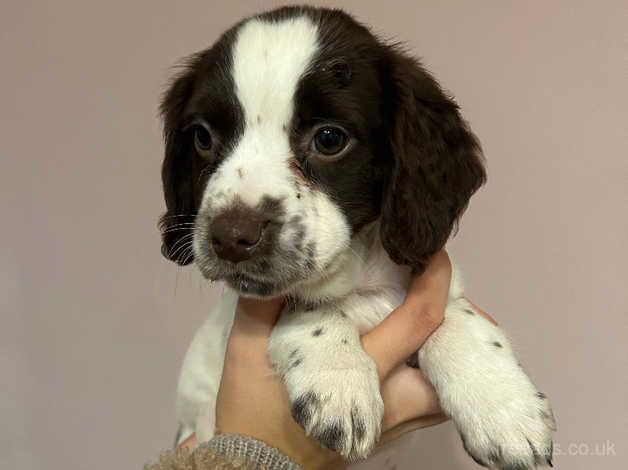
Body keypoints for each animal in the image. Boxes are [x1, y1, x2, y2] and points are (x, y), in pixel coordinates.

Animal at [159, 6, 556, 466]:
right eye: (203, 137)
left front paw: (502, 404)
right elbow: (306, 303)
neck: (362, 287)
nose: (231, 237)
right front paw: (338, 381)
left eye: (330, 139)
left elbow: (456, 316)